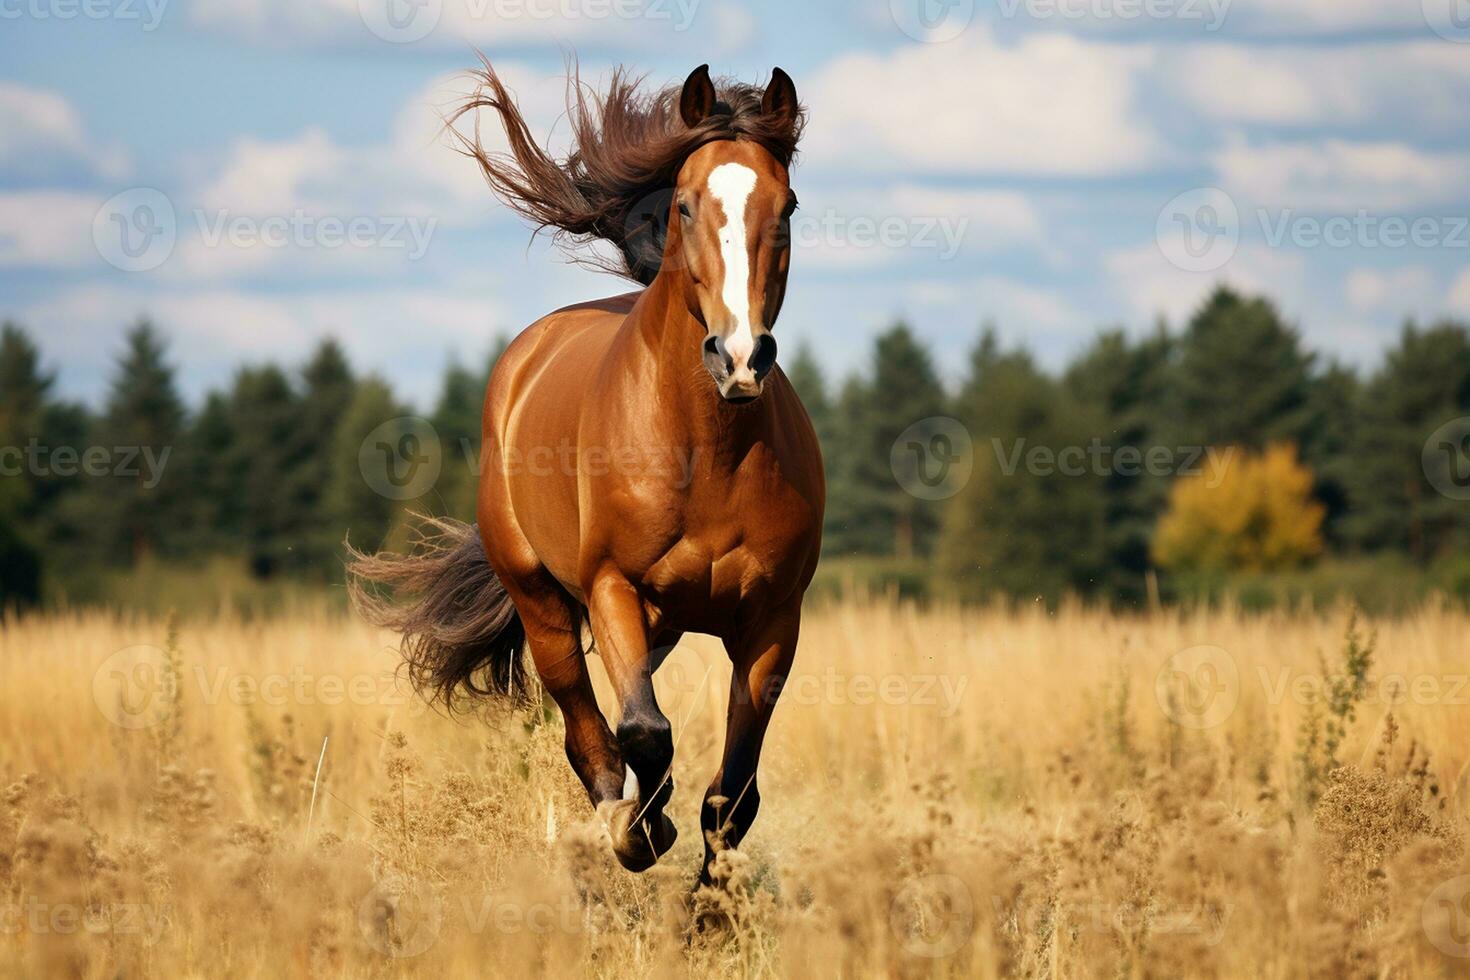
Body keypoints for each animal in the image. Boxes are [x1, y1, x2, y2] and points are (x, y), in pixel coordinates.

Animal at [348, 61, 823, 887]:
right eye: (685, 205)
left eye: (786, 205)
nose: (738, 358)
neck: (709, 453)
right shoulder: (613, 588)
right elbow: (643, 731)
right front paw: (642, 834)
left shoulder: (773, 620)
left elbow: (734, 791)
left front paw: (710, 900)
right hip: (544, 604)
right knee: (585, 724)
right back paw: (623, 822)